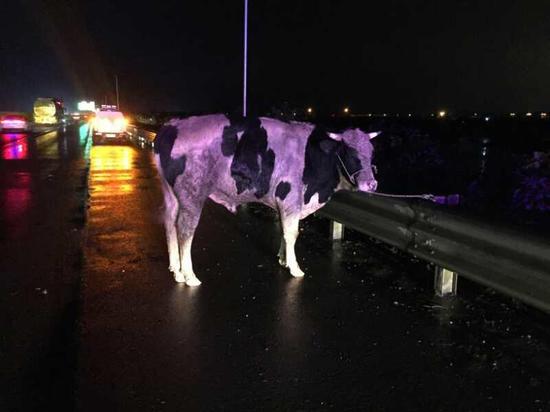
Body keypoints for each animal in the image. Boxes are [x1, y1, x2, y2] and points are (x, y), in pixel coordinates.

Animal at [154, 113, 380, 286]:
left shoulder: (283, 204)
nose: (372, 184)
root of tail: (173, 125)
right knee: (185, 230)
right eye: (350, 152)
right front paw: (295, 268)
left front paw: (283, 259)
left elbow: (284, 231)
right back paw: (189, 276)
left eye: (371, 153)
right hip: (192, 196)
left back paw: (176, 269)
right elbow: (292, 233)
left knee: (170, 223)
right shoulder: (291, 200)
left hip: (172, 195)